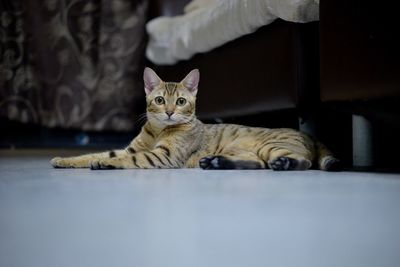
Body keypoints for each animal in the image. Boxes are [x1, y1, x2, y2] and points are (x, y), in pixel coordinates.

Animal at [49, 68, 340, 171]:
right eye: (159, 100)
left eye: (180, 102)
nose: (169, 112)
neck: (159, 130)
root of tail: (308, 135)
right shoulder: (132, 148)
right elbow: (92, 154)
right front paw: (65, 159)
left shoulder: (161, 157)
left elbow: (125, 159)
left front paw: (104, 163)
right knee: (258, 165)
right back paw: (217, 162)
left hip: (272, 146)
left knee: (302, 164)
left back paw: (284, 164)